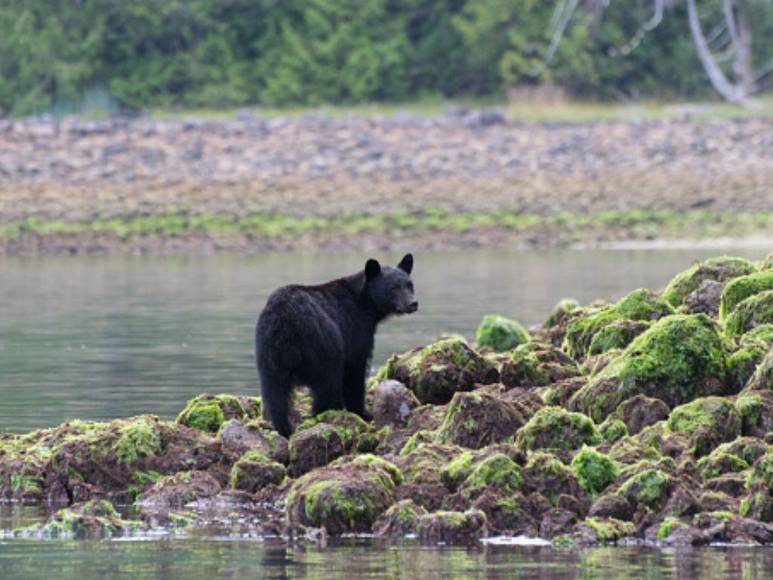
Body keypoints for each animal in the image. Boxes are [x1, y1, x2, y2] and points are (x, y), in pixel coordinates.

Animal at [255, 254, 418, 437]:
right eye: (394, 288)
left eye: (409, 285)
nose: (413, 303)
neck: (364, 303)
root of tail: (285, 319)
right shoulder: (354, 329)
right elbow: (355, 370)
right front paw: (363, 412)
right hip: (322, 343)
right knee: (328, 382)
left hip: (269, 354)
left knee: (274, 394)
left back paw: (284, 429)